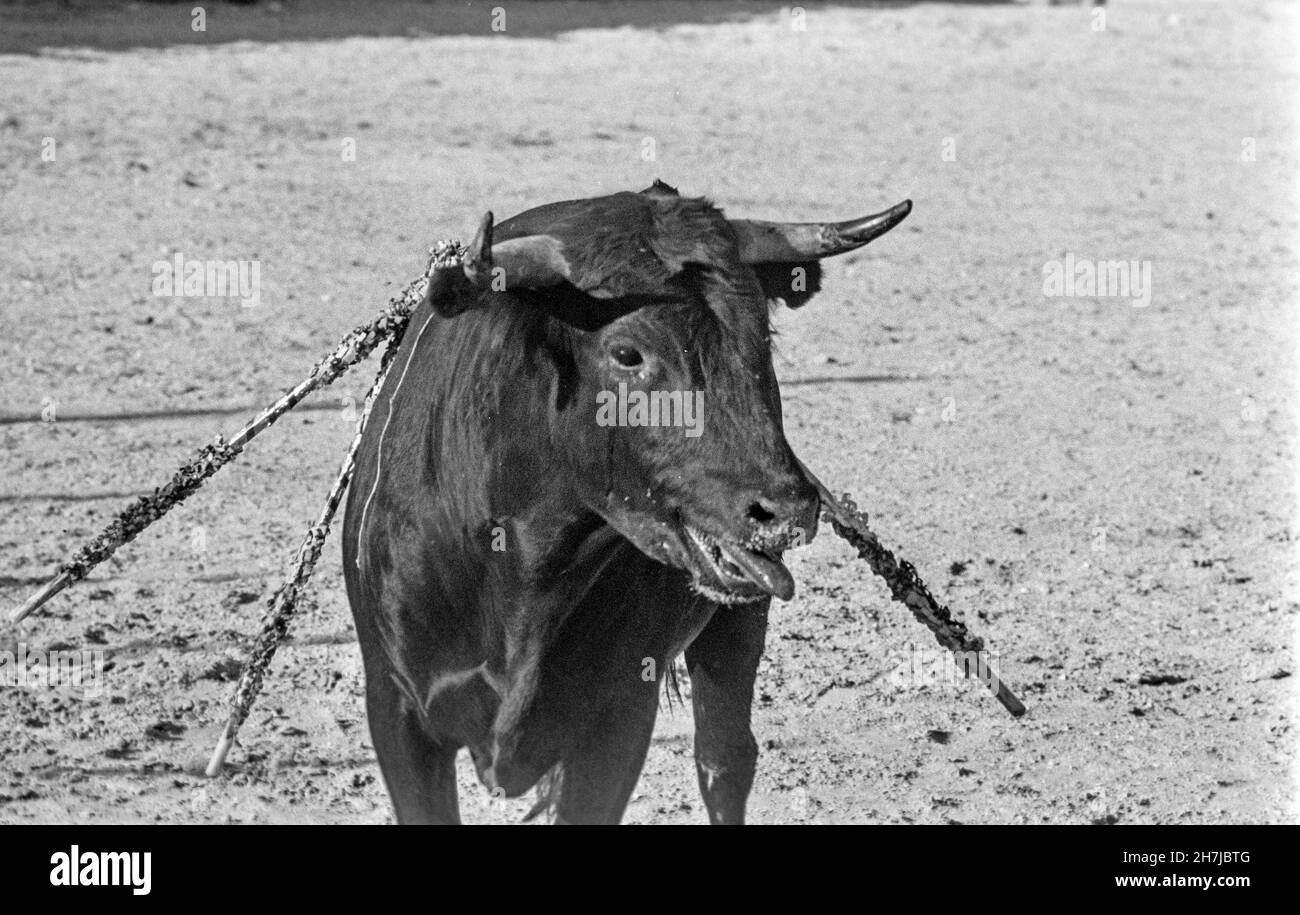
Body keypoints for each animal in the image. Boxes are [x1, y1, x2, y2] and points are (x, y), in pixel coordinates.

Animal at [345, 180, 915, 821]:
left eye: (761, 338)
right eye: (626, 353)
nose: (788, 511)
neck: (523, 571)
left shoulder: (616, 723)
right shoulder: (397, 710)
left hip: (738, 621)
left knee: (724, 761)